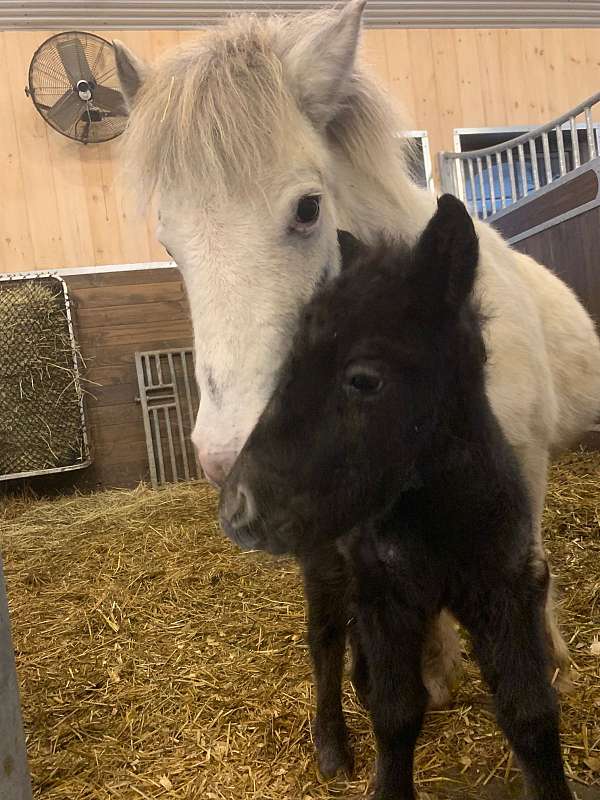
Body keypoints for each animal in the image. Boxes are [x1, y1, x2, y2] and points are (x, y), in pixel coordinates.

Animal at [219, 193, 574, 800]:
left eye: (364, 378)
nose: (236, 508)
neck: (439, 517)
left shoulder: (502, 587)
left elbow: (530, 713)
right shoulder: (387, 595)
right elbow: (396, 715)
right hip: (326, 564)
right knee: (326, 641)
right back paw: (333, 746)